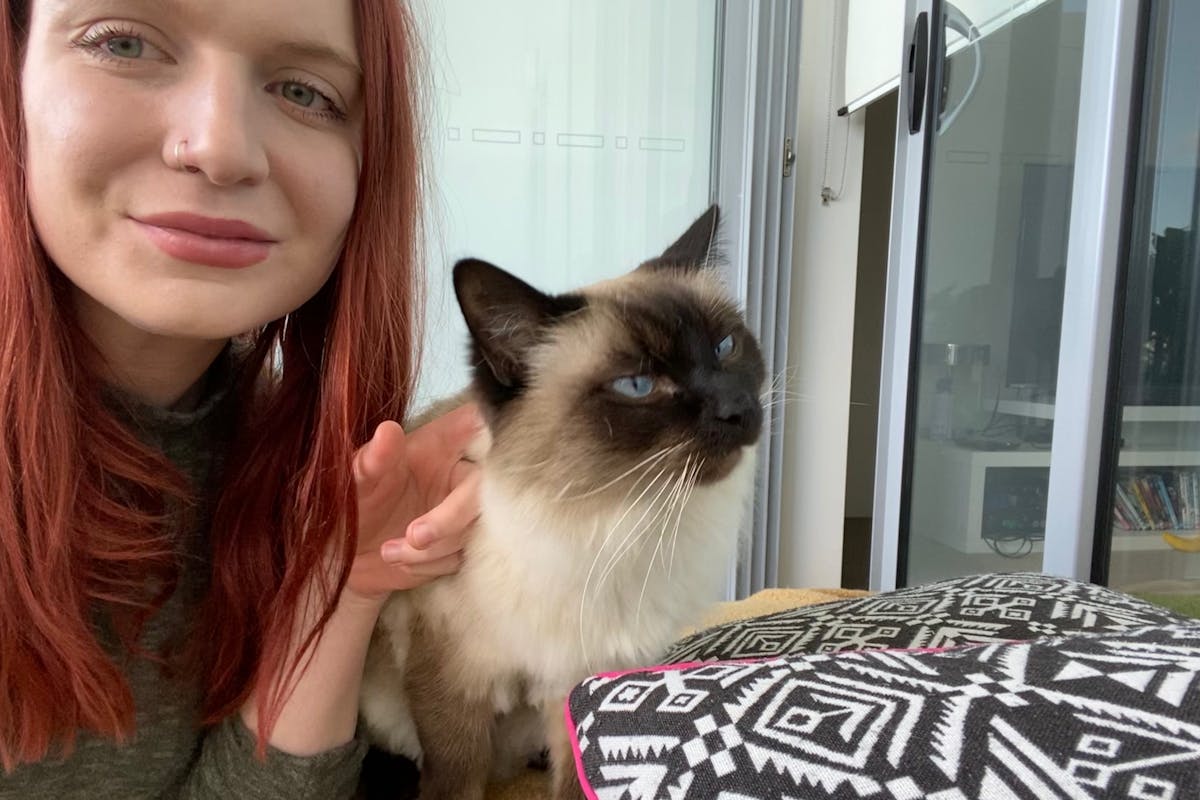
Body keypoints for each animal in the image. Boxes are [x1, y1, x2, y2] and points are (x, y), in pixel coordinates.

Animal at [360, 206, 763, 800]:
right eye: (638, 385)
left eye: (724, 349)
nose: (738, 409)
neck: (620, 517)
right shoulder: (453, 682)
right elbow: (456, 777)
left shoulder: (582, 683)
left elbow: (577, 780)